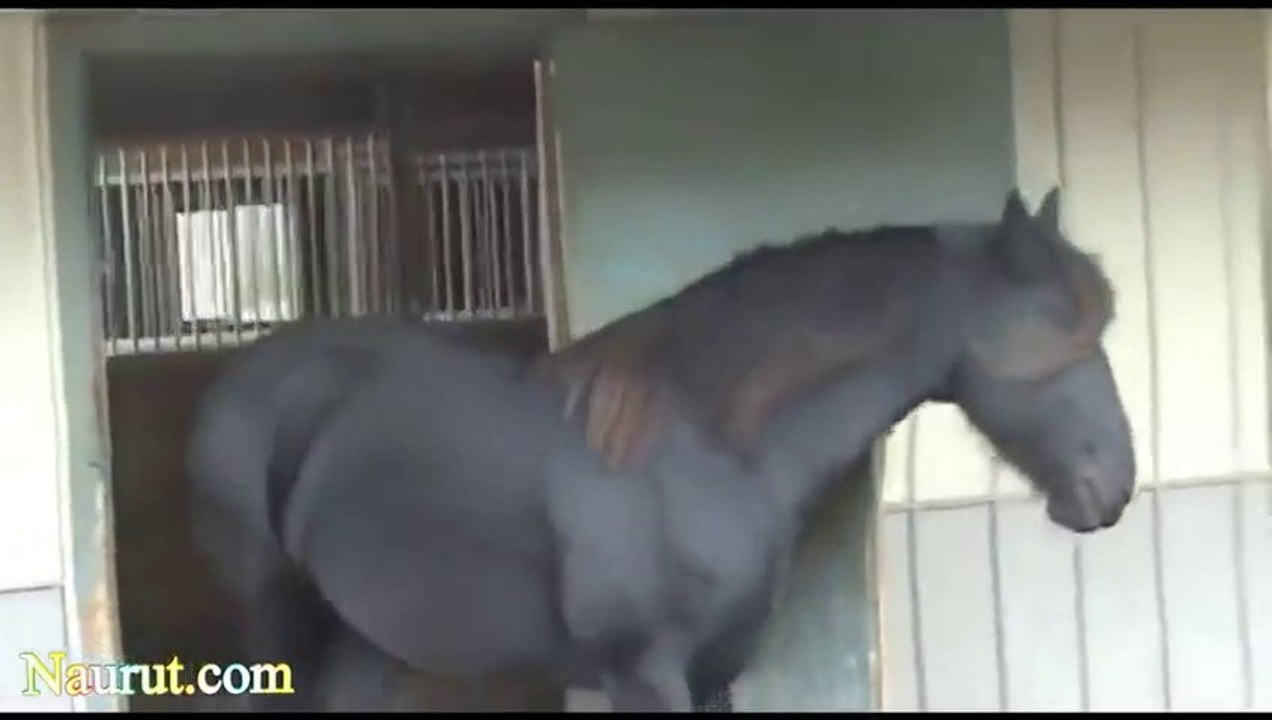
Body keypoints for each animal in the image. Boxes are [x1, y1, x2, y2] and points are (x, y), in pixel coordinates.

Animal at [185, 187, 1136, 712]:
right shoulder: (643, 674)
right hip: (273, 628)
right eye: (1059, 331)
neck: (704, 447)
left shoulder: (717, 672)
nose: (1113, 486)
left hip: (365, 635)